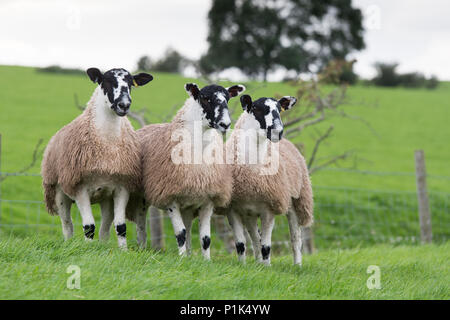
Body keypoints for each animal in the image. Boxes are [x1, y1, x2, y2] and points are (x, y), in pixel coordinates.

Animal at [42, 66, 155, 249]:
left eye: (131, 83)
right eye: (107, 81)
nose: (124, 105)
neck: (107, 145)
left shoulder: (122, 187)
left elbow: (121, 226)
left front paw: (123, 251)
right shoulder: (80, 188)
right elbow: (89, 227)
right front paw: (87, 250)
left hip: (105, 197)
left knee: (105, 227)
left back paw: (103, 246)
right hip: (59, 192)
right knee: (67, 224)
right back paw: (69, 243)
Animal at [133, 83, 246, 260]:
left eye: (227, 98)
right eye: (205, 98)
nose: (225, 124)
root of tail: (143, 128)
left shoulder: (208, 200)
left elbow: (205, 238)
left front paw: (206, 261)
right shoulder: (170, 198)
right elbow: (180, 234)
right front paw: (181, 260)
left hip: (188, 203)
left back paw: (189, 255)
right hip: (141, 197)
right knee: (141, 225)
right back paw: (141, 248)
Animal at [218, 94, 312, 266]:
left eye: (279, 109)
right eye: (256, 109)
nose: (278, 132)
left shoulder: (269, 209)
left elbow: (267, 246)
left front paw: (267, 268)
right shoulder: (232, 209)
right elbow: (241, 244)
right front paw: (242, 266)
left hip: (296, 202)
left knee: (296, 239)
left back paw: (297, 265)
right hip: (249, 213)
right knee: (255, 238)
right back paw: (257, 262)